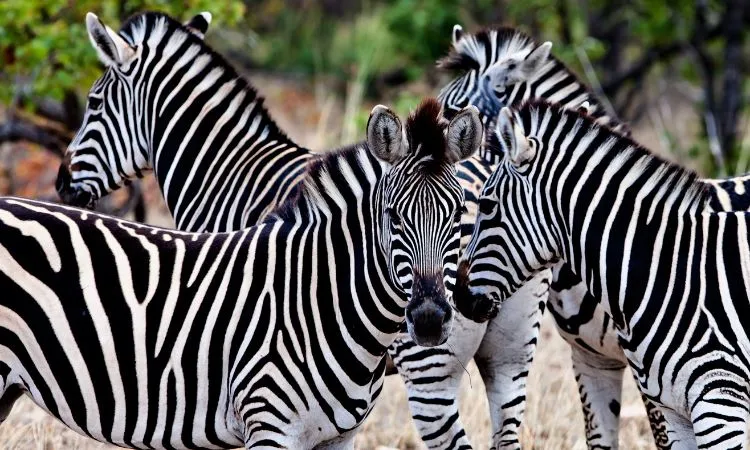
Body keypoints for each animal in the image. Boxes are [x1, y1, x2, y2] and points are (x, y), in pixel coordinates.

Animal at [0, 97, 482, 446]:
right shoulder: (269, 426)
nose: (429, 320)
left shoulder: (338, 438)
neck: (318, 296)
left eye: (459, 215)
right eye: (392, 216)